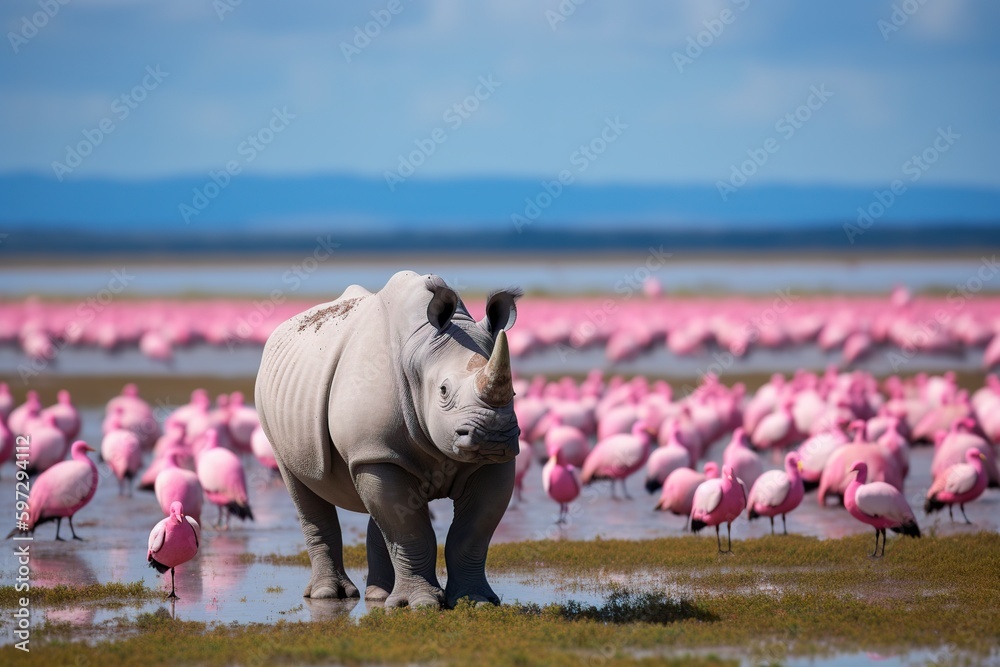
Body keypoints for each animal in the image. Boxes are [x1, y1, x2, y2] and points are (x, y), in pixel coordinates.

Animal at [255, 271, 521, 608]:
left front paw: (474, 601)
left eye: (514, 393)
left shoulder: (490, 462)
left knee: (379, 508)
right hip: (274, 413)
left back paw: (379, 596)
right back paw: (329, 595)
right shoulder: (375, 451)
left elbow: (473, 532)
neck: (420, 351)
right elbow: (409, 530)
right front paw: (421, 605)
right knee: (302, 487)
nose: (494, 436)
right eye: (444, 391)